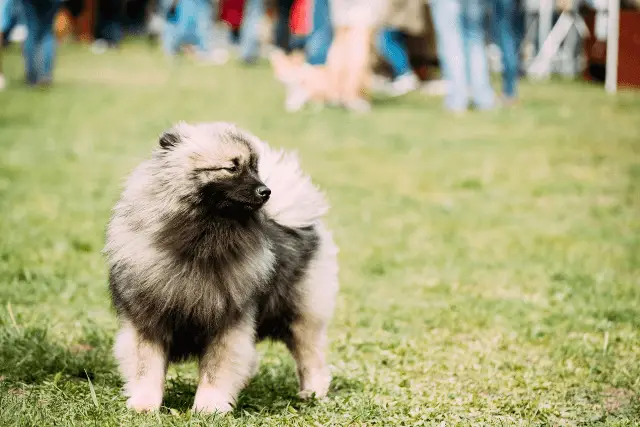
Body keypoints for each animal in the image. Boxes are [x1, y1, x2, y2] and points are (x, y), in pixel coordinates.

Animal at [104, 121, 340, 414]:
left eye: (255, 168)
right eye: (232, 167)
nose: (266, 191)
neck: (200, 243)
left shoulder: (227, 322)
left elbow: (216, 370)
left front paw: (210, 407)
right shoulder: (147, 319)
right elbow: (147, 368)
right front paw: (144, 405)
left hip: (301, 317)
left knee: (310, 356)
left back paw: (313, 393)